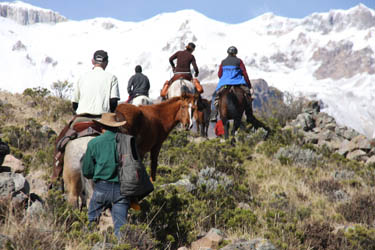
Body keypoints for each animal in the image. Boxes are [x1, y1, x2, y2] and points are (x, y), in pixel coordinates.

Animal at [62, 93, 198, 206]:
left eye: (194, 109)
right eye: (184, 107)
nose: (189, 125)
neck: (159, 117)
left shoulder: (140, 151)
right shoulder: (155, 147)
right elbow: (153, 168)